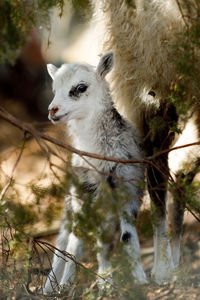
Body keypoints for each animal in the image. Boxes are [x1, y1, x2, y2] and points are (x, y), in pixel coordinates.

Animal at [43, 51, 147, 292]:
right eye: (54, 89)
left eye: (80, 87)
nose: (53, 110)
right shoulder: (83, 190)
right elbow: (75, 242)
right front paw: (66, 285)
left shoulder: (128, 187)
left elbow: (128, 237)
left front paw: (140, 280)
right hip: (71, 202)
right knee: (63, 241)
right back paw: (49, 287)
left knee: (103, 241)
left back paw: (105, 279)